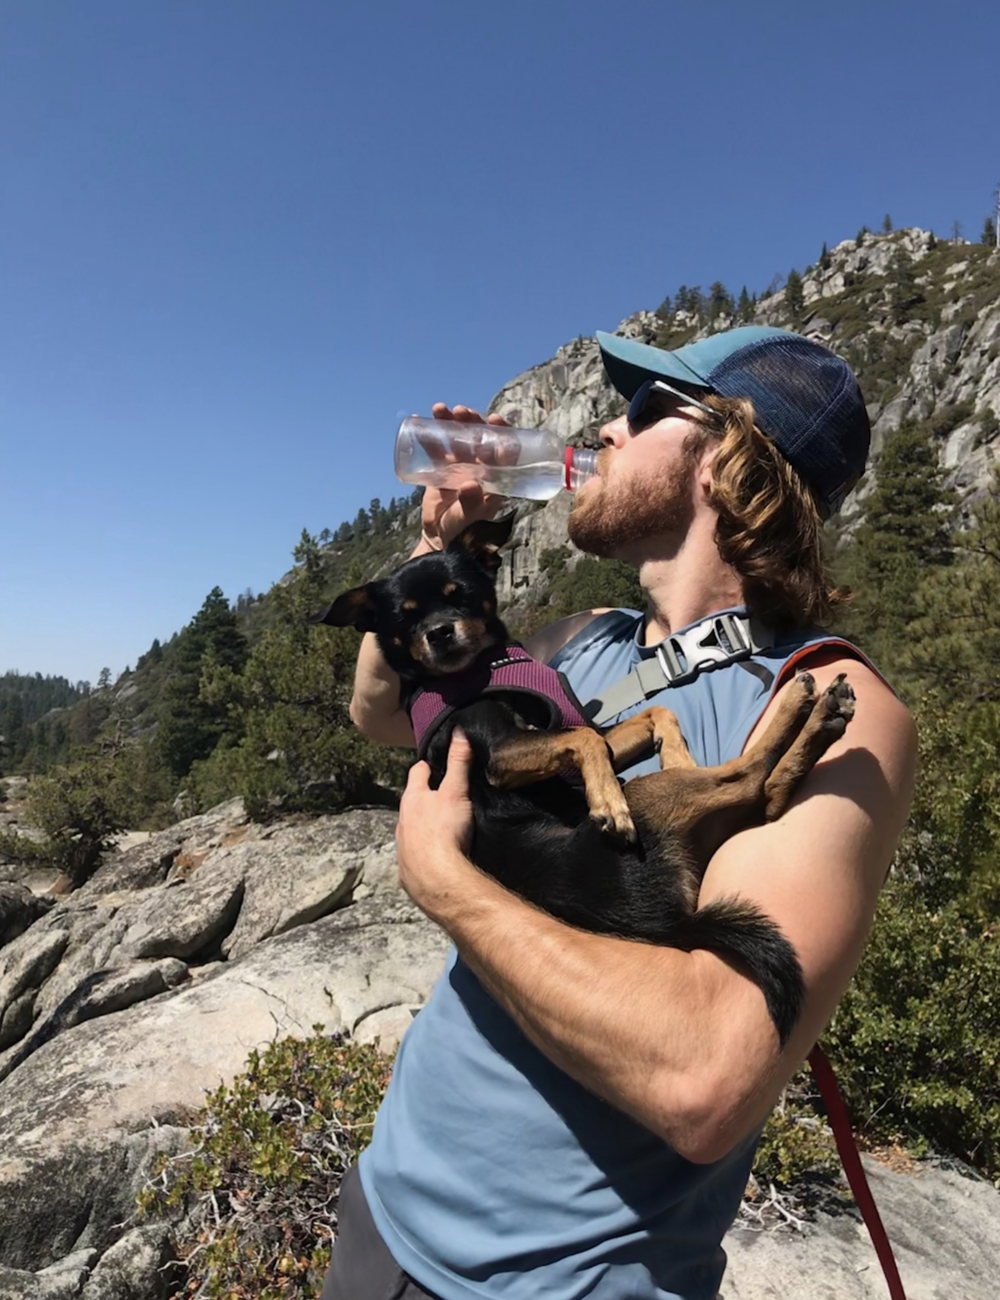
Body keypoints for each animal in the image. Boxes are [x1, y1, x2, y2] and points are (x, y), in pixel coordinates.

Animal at [317, 517, 853, 1045]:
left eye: (461, 593)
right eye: (404, 620)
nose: (439, 633)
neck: (483, 667)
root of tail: (676, 925)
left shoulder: (578, 734)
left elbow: (650, 714)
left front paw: (675, 753)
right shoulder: (501, 754)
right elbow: (586, 738)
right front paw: (608, 803)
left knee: (765, 796)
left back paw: (817, 718)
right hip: (651, 798)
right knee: (750, 780)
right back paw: (808, 707)